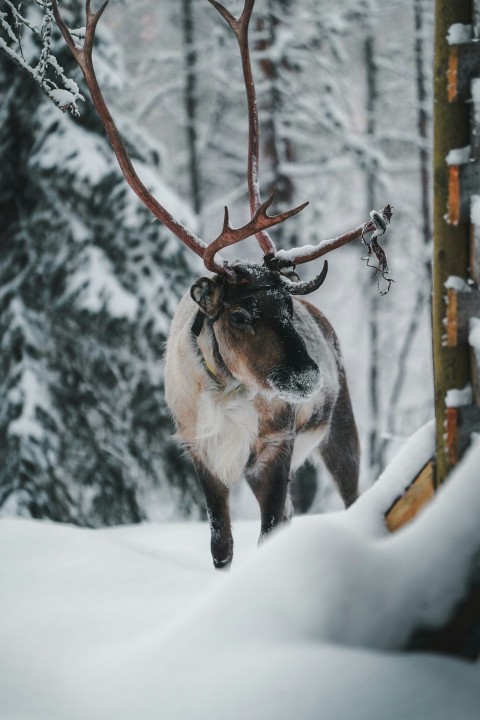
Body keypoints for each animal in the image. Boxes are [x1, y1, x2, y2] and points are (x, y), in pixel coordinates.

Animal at [51, 0, 392, 569]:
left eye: (286, 307)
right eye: (239, 314)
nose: (308, 376)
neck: (228, 385)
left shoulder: (276, 447)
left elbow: (269, 530)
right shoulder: (200, 452)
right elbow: (222, 543)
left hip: (340, 431)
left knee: (349, 496)